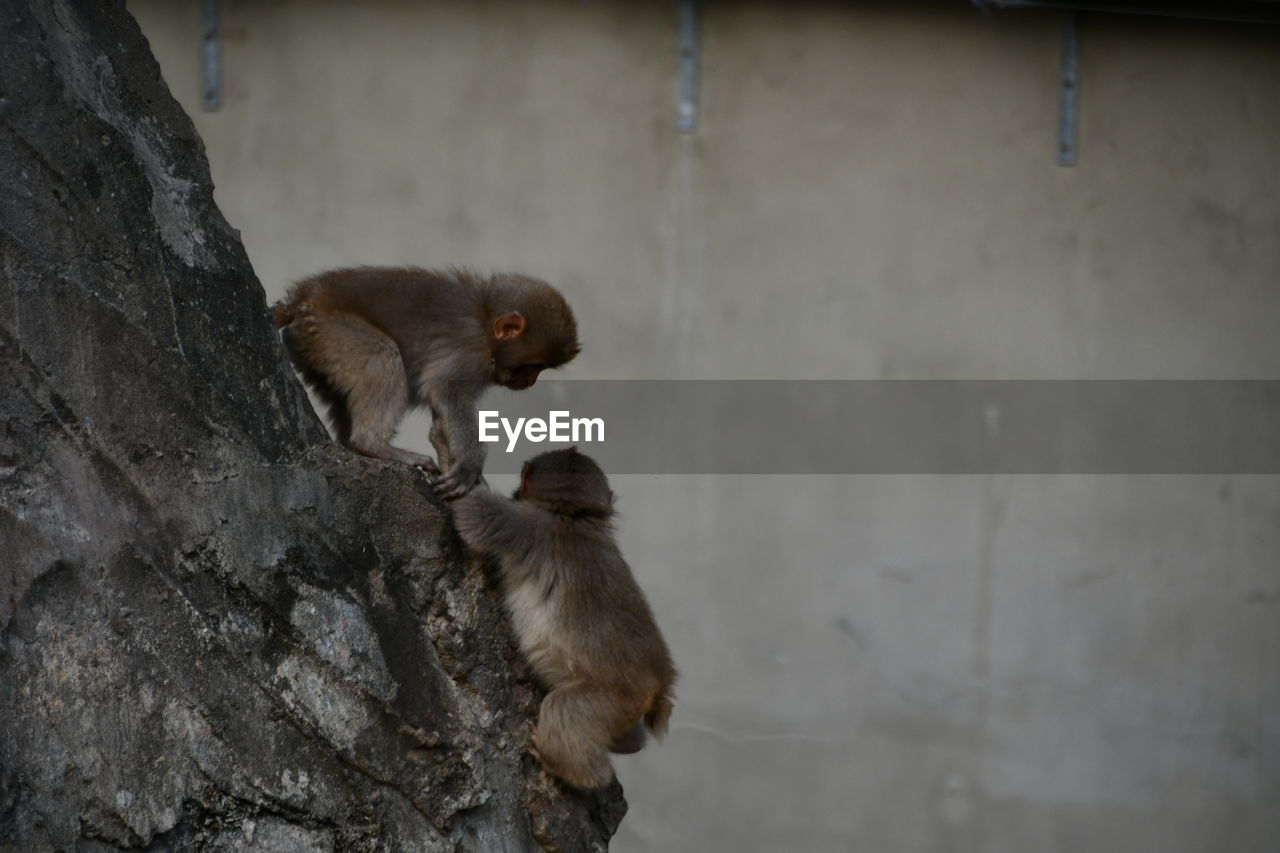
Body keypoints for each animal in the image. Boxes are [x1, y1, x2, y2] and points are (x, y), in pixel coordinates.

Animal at [277, 266, 583, 499]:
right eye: (532, 366)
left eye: (540, 369)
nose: (530, 381)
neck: (485, 320)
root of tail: (306, 293)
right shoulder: (471, 356)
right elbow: (449, 392)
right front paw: (470, 466)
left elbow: (440, 422)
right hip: (333, 331)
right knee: (382, 359)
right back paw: (372, 444)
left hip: (316, 344)